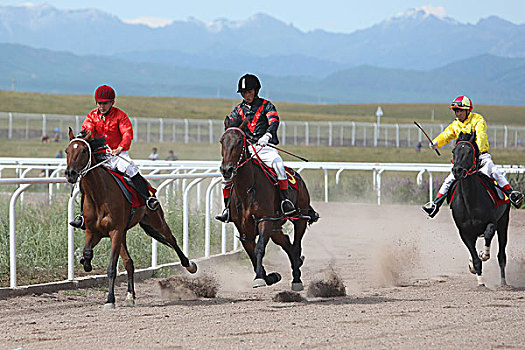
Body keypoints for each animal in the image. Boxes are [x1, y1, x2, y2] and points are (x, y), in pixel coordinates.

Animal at [65, 127, 196, 308]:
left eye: (84, 150)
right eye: (67, 150)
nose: (70, 173)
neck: (99, 195)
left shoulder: (115, 231)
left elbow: (111, 268)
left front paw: (110, 299)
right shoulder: (93, 231)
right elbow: (87, 251)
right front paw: (86, 262)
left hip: (155, 220)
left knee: (171, 239)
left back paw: (189, 265)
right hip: (123, 233)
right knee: (129, 262)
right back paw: (130, 295)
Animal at [218, 120, 318, 290]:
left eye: (239, 141)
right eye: (222, 140)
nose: (227, 170)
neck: (247, 189)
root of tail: (297, 176)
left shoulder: (265, 220)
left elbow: (259, 248)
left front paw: (259, 277)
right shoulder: (244, 229)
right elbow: (251, 253)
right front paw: (269, 276)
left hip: (300, 218)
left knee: (296, 245)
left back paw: (297, 279)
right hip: (276, 227)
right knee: (288, 244)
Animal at [450, 131, 508, 288]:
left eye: (470, 151)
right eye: (454, 151)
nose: (457, 170)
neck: (470, 203)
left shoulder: (492, 222)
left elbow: (488, 234)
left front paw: (484, 254)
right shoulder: (465, 232)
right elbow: (475, 258)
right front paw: (480, 281)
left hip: (504, 222)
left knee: (501, 255)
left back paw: (503, 282)